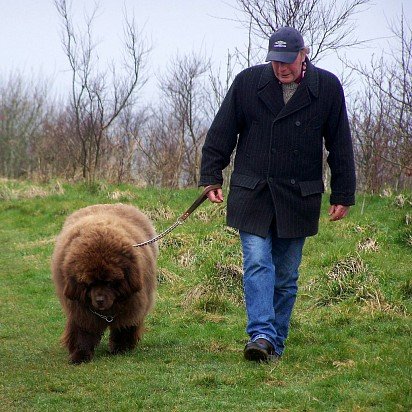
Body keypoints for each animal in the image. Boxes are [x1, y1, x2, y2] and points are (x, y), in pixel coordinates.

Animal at [50, 204, 156, 364]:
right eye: (89, 284)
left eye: (110, 283)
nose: (99, 300)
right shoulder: (81, 309)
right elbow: (83, 332)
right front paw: (80, 355)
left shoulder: (131, 303)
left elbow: (123, 326)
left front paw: (121, 348)